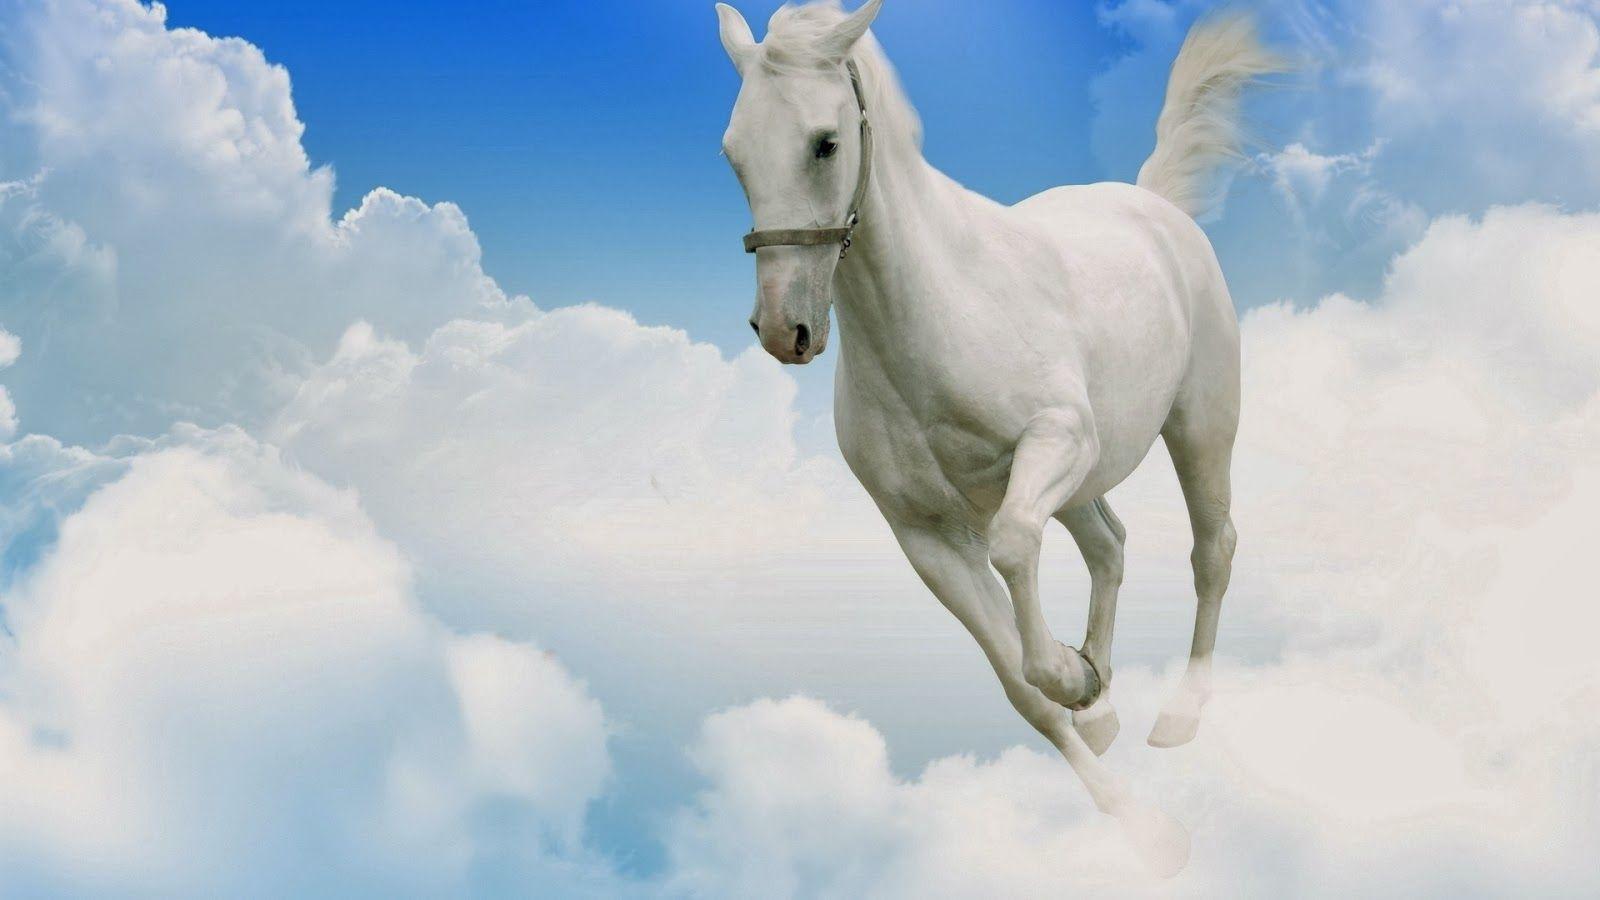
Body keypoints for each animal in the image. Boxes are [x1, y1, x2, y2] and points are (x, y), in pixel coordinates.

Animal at [716, 0, 1281, 872]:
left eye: (825, 142)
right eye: (734, 152)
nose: (785, 330)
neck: (939, 309)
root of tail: (1154, 206)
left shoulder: (1053, 445)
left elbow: (1016, 548)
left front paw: (1074, 679)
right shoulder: (927, 537)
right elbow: (1020, 688)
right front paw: (1136, 811)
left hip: (1199, 426)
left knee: (1211, 550)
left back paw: (1177, 715)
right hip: (1087, 481)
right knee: (1110, 545)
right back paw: (1105, 701)